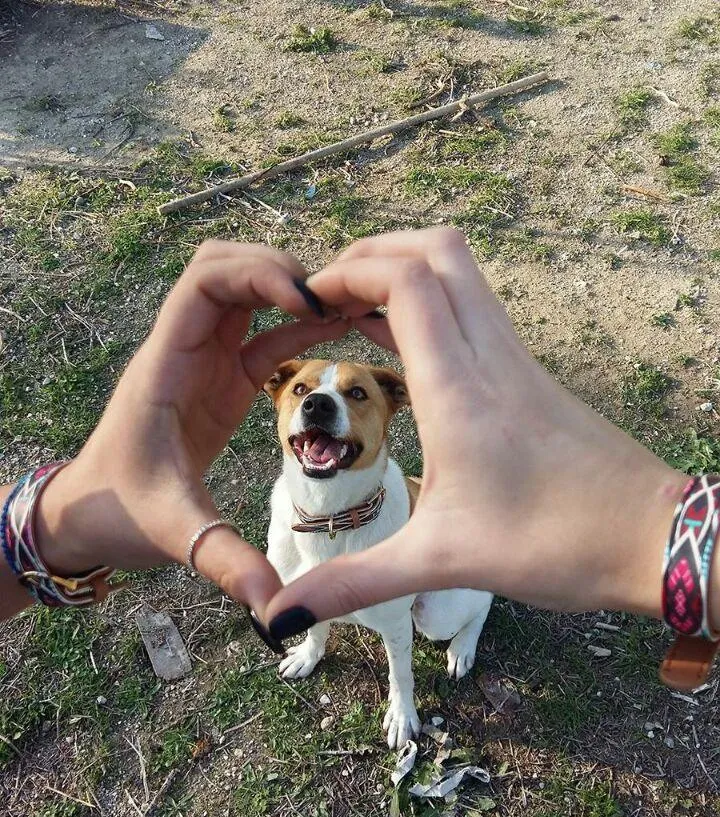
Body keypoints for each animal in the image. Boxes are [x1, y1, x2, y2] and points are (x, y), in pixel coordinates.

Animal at [264, 360, 496, 748]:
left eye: (357, 393)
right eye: (300, 389)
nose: (317, 404)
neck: (330, 518)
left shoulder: (396, 623)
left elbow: (400, 674)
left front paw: (402, 717)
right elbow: (316, 633)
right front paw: (308, 656)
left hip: (436, 614)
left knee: (481, 603)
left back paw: (462, 648)